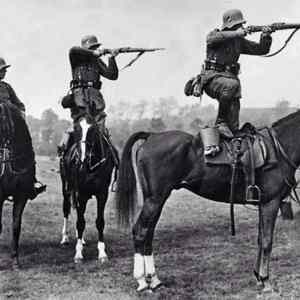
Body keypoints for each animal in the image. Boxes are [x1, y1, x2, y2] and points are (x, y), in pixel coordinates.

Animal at [59, 122, 118, 262]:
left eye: (93, 129)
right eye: (77, 129)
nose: (83, 157)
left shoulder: (102, 194)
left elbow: (100, 222)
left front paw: (102, 253)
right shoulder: (81, 193)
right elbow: (80, 223)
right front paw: (78, 253)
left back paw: (81, 239)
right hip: (66, 189)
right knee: (66, 209)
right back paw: (65, 238)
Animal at [115, 109, 300, 292]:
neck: (279, 149)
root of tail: (151, 136)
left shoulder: (263, 204)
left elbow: (261, 240)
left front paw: (258, 277)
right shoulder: (271, 203)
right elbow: (268, 242)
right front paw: (265, 280)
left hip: (155, 201)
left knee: (148, 233)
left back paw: (154, 280)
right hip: (155, 200)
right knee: (140, 232)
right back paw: (141, 281)